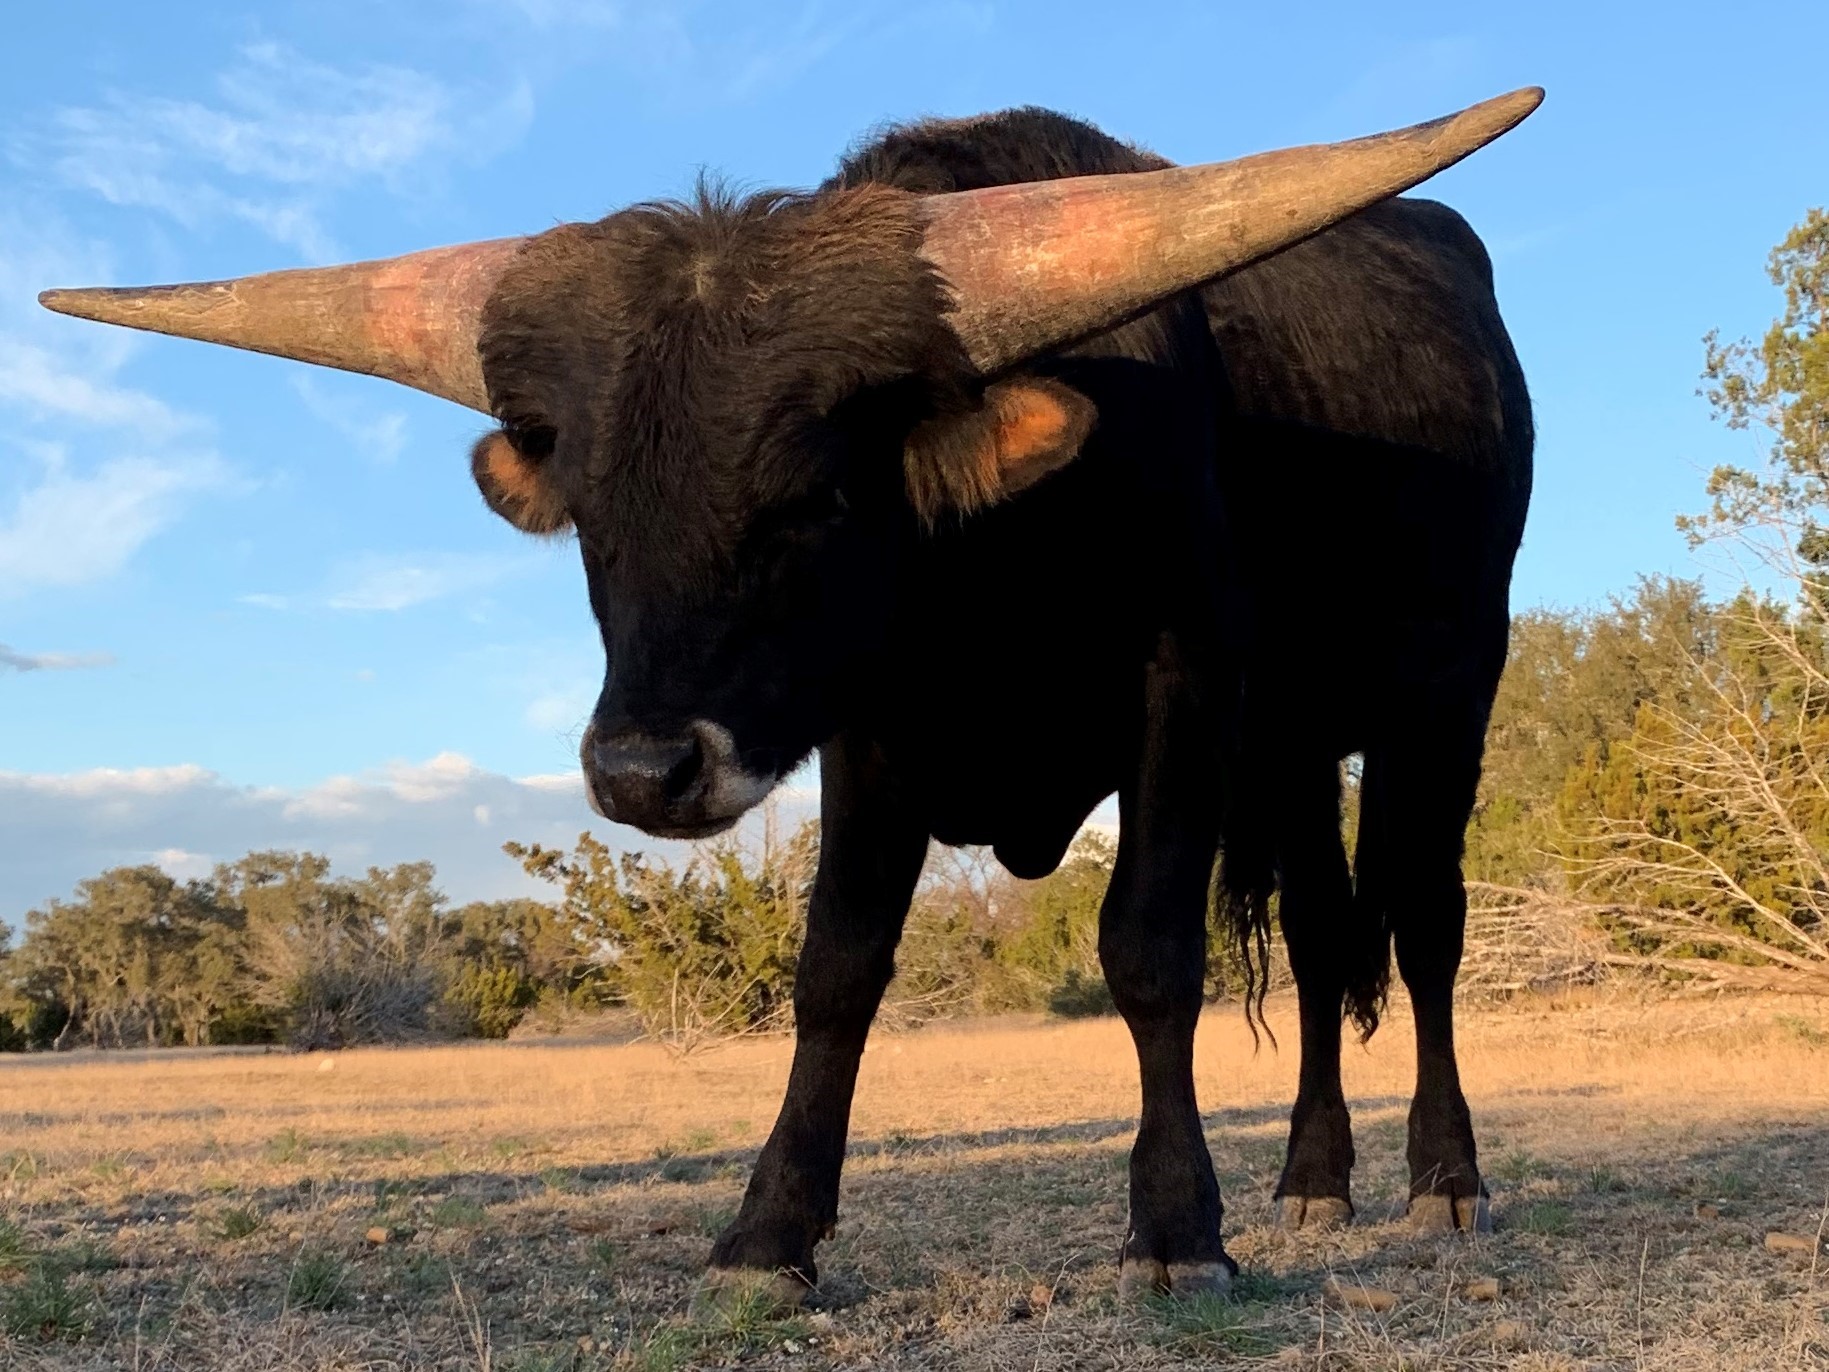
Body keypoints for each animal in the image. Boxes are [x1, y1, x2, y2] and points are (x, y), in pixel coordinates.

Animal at [41, 88, 1540, 1304]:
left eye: (817, 492)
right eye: (590, 513)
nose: (642, 771)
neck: (991, 556)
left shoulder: (1185, 687)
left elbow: (1146, 951)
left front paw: (1173, 1230)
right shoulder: (868, 730)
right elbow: (836, 969)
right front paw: (768, 1234)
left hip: (1441, 702)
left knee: (1423, 929)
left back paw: (1443, 1177)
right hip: (1292, 753)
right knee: (1319, 934)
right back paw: (1313, 1177)